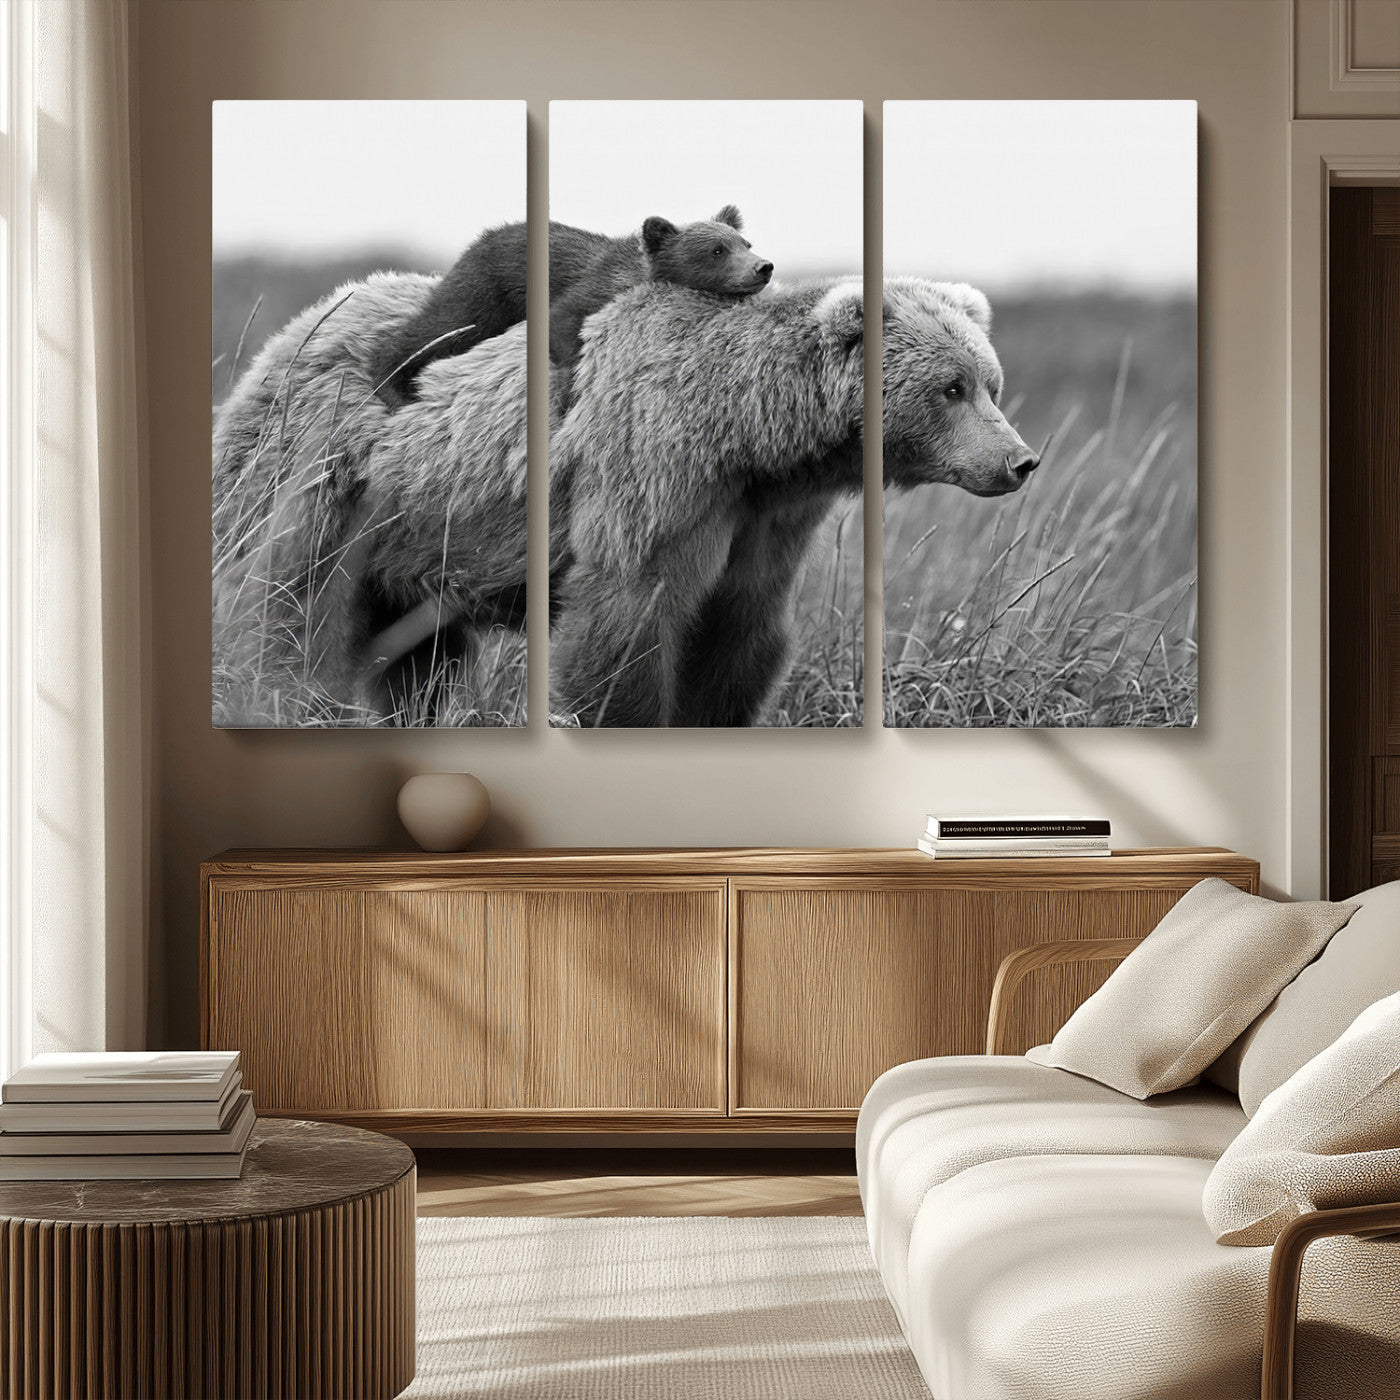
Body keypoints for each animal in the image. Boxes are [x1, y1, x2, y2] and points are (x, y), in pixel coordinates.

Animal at [211, 270, 1036, 727]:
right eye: (951, 387)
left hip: (416, 543)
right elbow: (626, 620)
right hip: (325, 481)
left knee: (420, 659)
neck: (752, 436)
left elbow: (738, 636)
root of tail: (289, 333)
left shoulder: (764, 521)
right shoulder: (656, 472)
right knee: (286, 608)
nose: (1020, 460)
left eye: (990, 382)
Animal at [365, 206, 773, 408]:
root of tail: (481, 237)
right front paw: (571, 390)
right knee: (444, 325)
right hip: (486, 290)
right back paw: (394, 386)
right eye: (716, 250)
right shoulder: (591, 288)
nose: (763, 267)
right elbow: (563, 322)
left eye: (745, 242)